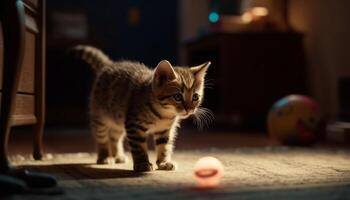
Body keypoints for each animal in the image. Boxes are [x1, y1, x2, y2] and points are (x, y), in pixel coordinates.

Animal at [69, 45, 209, 172]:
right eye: (178, 97)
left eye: (195, 97)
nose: (189, 109)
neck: (163, 113)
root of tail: (108, 65)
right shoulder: (134, 125)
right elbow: (139, 147)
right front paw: (142, 164)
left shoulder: (165, 130)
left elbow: (164, 146)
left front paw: (163, 162)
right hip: (100, 117)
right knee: (102, 137)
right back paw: (104, 157)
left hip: (118, 119)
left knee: (114, 136)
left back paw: (118, 156)